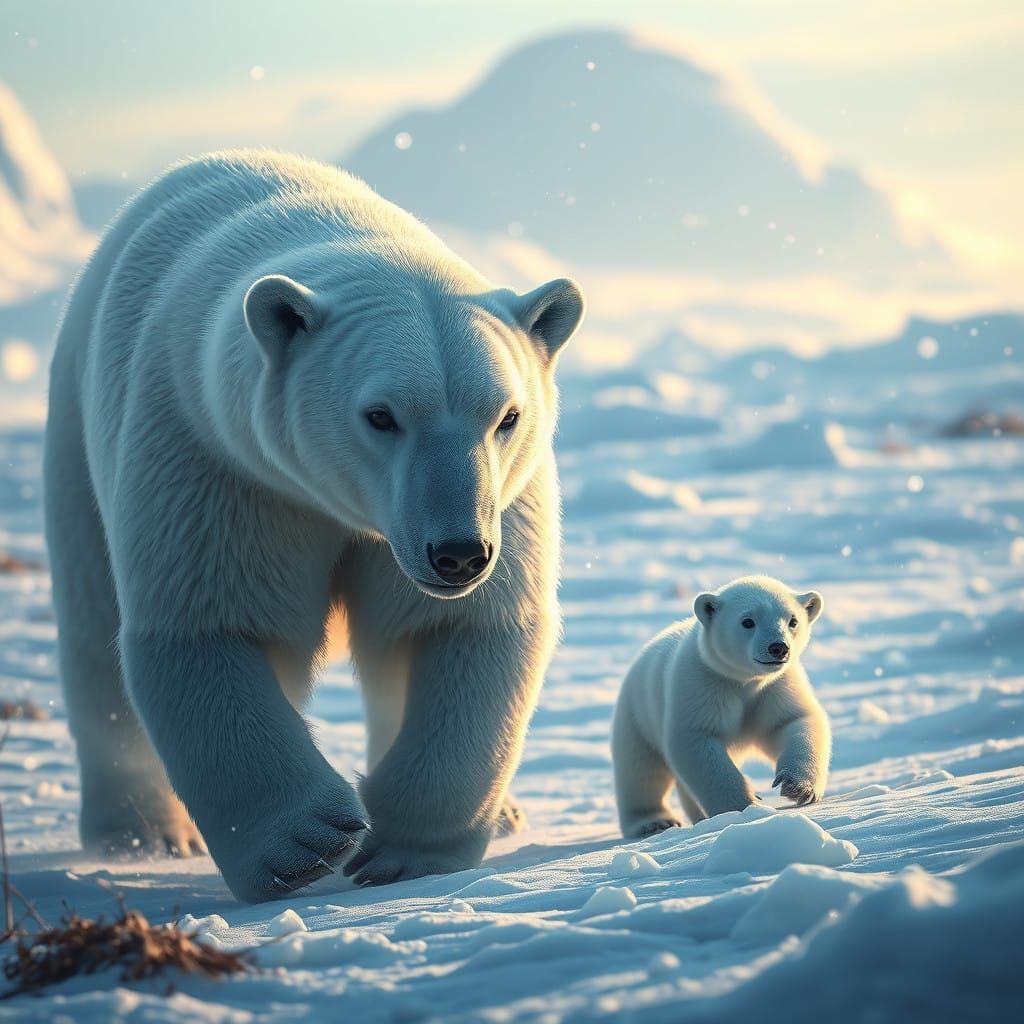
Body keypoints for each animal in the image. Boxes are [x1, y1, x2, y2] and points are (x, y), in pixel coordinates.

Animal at [43, 150, 584, 901]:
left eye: (506, 416)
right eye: (380, 415)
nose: (457, 553)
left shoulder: (500, 501)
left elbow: (458, 628)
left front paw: (404, 853)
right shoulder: (220, 462)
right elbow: (212, 625)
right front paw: (306, 843)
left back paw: (504, 813)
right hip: (77, 427)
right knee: (94, 628)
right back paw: (140, 832)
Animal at [611, 575, 830, 838]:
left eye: (793, 621)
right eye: (747, 621)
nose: (778, 647)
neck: (744, 681)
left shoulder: (776, 687)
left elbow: (794, 720)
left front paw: (798, 787)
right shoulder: (702, 684)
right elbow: (697, 741)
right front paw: (746, 805)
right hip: (636, 715)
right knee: (640, 771)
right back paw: (654, 822)